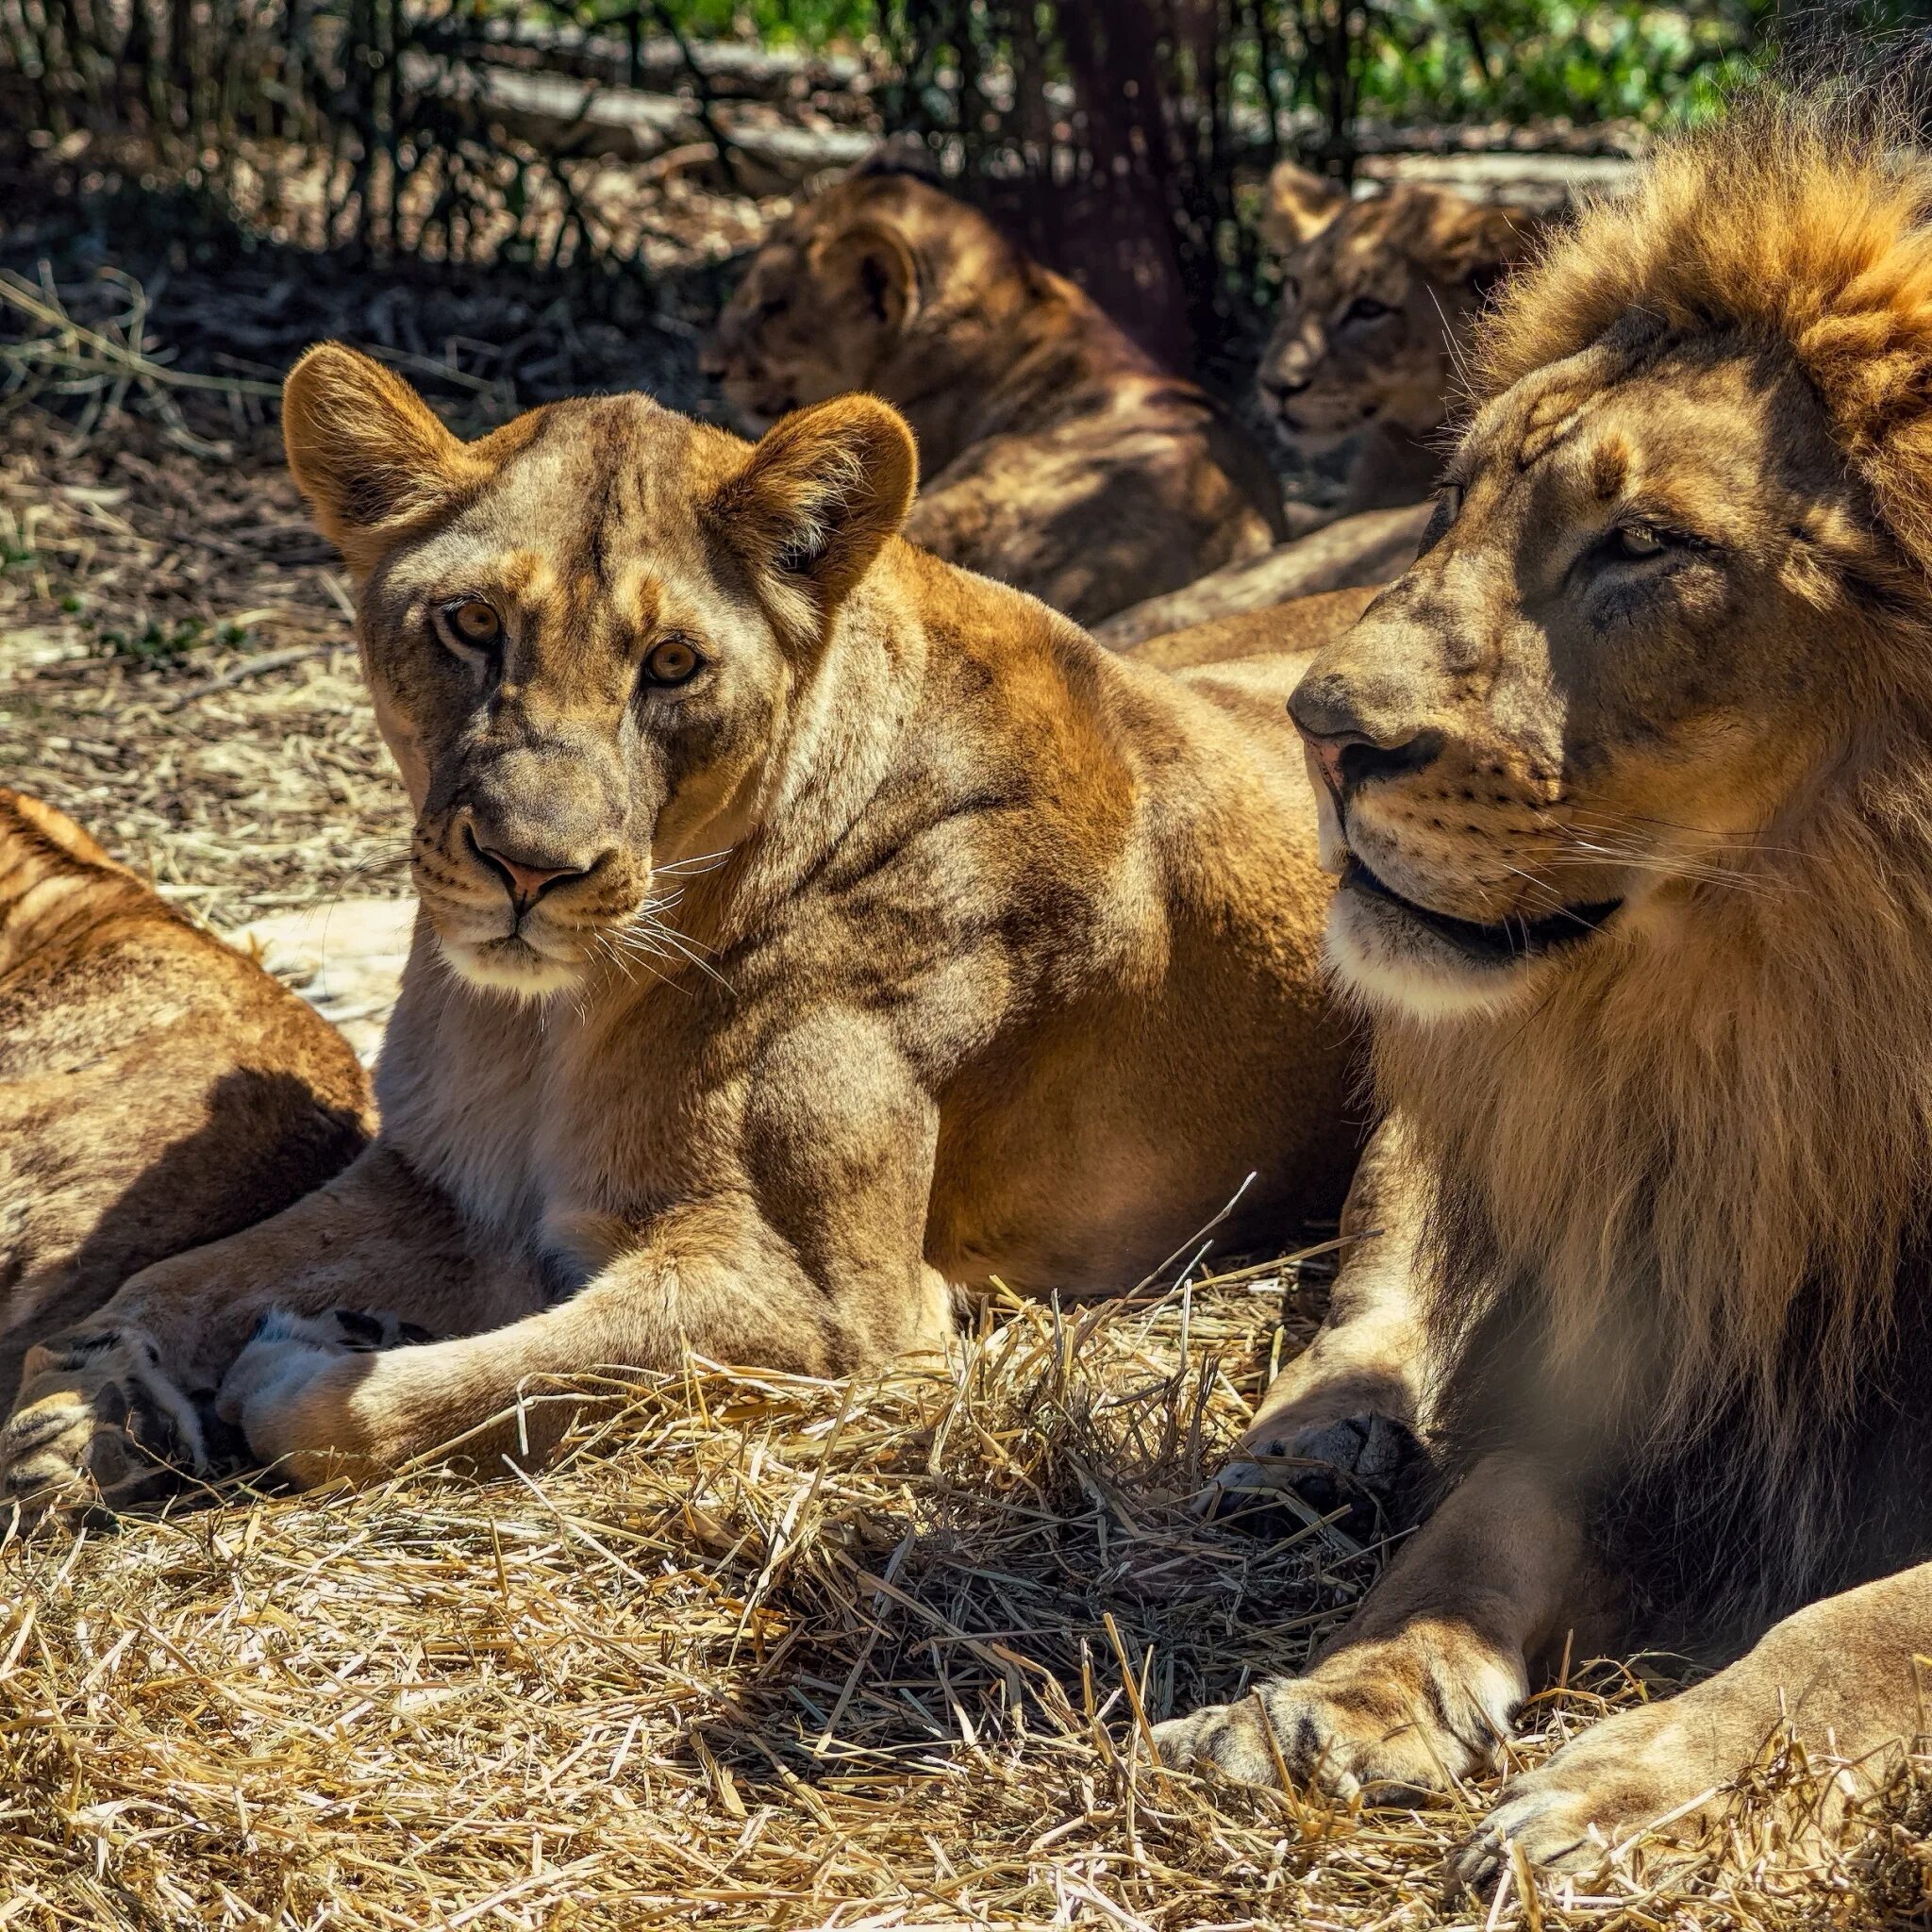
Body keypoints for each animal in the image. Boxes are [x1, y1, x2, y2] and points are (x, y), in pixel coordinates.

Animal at [0, 340, 1359, 1499]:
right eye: (473, 624)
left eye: (671, 665)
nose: (528, 868)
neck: (546, 1024)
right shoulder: (435, 1185)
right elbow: (187, 1266)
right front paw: (88, 1398)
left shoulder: (830, 1304)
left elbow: (426, 1397)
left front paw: (303, 1357)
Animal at [1143, 97, 1932, 1877]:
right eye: (1450, 498)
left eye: (1643, 545)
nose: (1317, 731)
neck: (1810, 1034)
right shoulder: (1689, 1341)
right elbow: (1488, 1508)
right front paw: (1335, 1692)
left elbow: (1861, 1625)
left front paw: (1636, 1785)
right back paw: (1310, 1450)